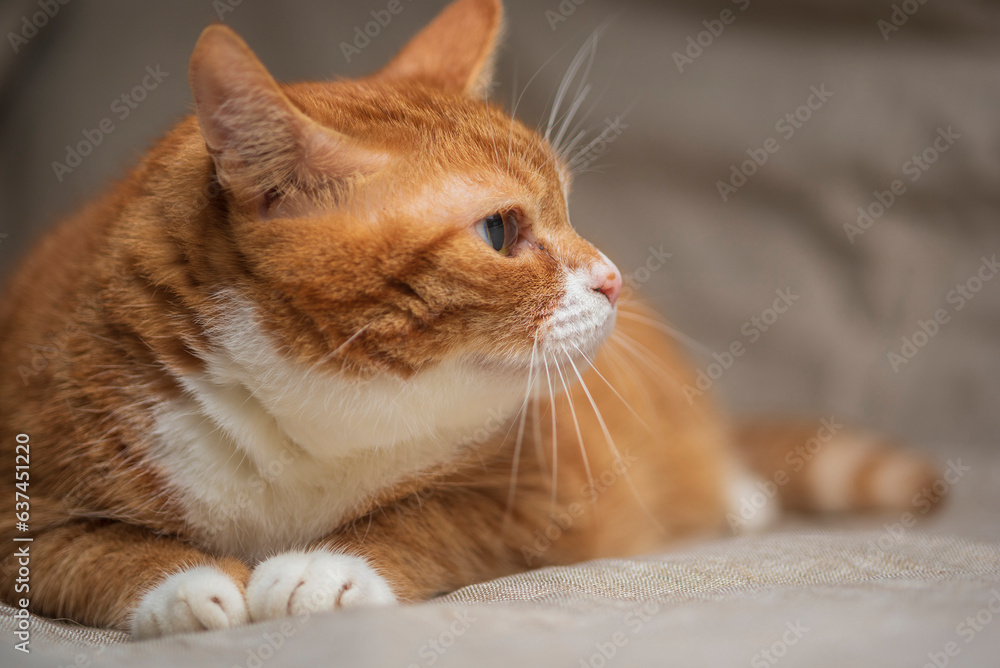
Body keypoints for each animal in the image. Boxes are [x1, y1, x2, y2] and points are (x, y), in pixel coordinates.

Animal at [0, 0, 936, 636]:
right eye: (500, 231)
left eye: (568, 207)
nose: (613, 279)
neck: (309, 418)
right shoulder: (25, 489)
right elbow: (80, 549)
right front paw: (184, 583)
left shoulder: (541, 487)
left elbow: (432, 519)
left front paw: (327, 568)